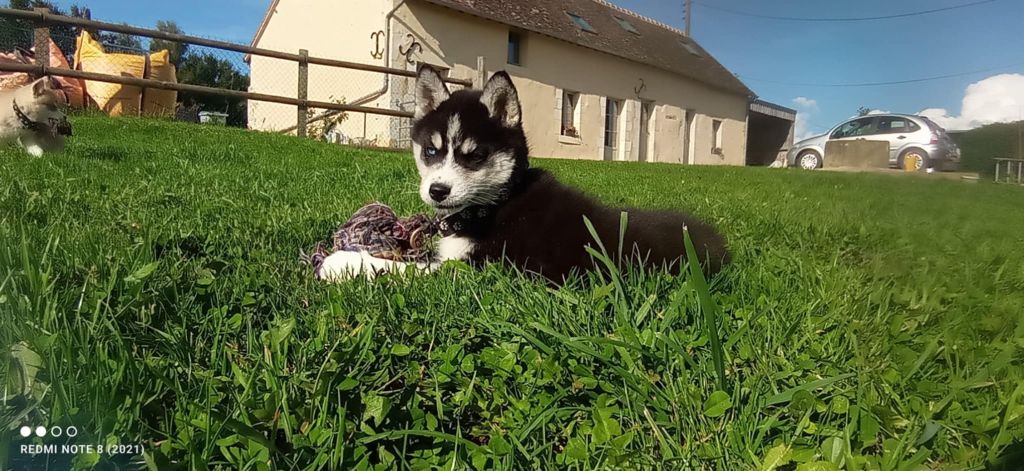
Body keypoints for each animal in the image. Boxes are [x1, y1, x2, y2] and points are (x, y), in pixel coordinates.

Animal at [319, 64, 729, 280]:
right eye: (430, 151)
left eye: (475, 155)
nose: (437, 191)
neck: (497, 203)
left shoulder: (473, 269)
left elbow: (405, 268)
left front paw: (344, 261)